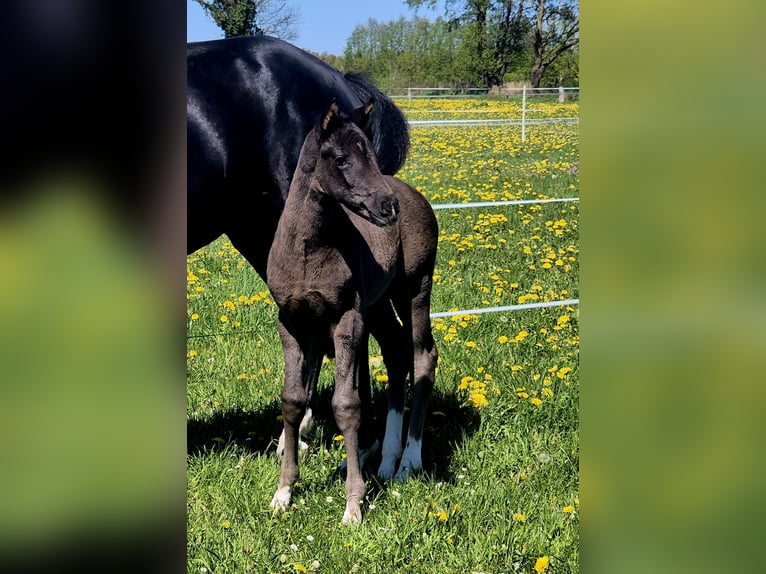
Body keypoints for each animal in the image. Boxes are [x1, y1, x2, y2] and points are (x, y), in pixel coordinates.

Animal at [266, 100, 438, 524]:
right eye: (341, 158)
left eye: (372, 156)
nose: (387, 206)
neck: (308, 249)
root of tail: (415, 196)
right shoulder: (291, 320)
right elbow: (293, 399)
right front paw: (283, 492)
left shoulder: (346, 317)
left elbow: (346, 404)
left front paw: (353, 505)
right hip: (377, 304)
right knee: (395, 351)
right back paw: (383, 459)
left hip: (414, 289)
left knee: (422, 355)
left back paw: (408, 461)